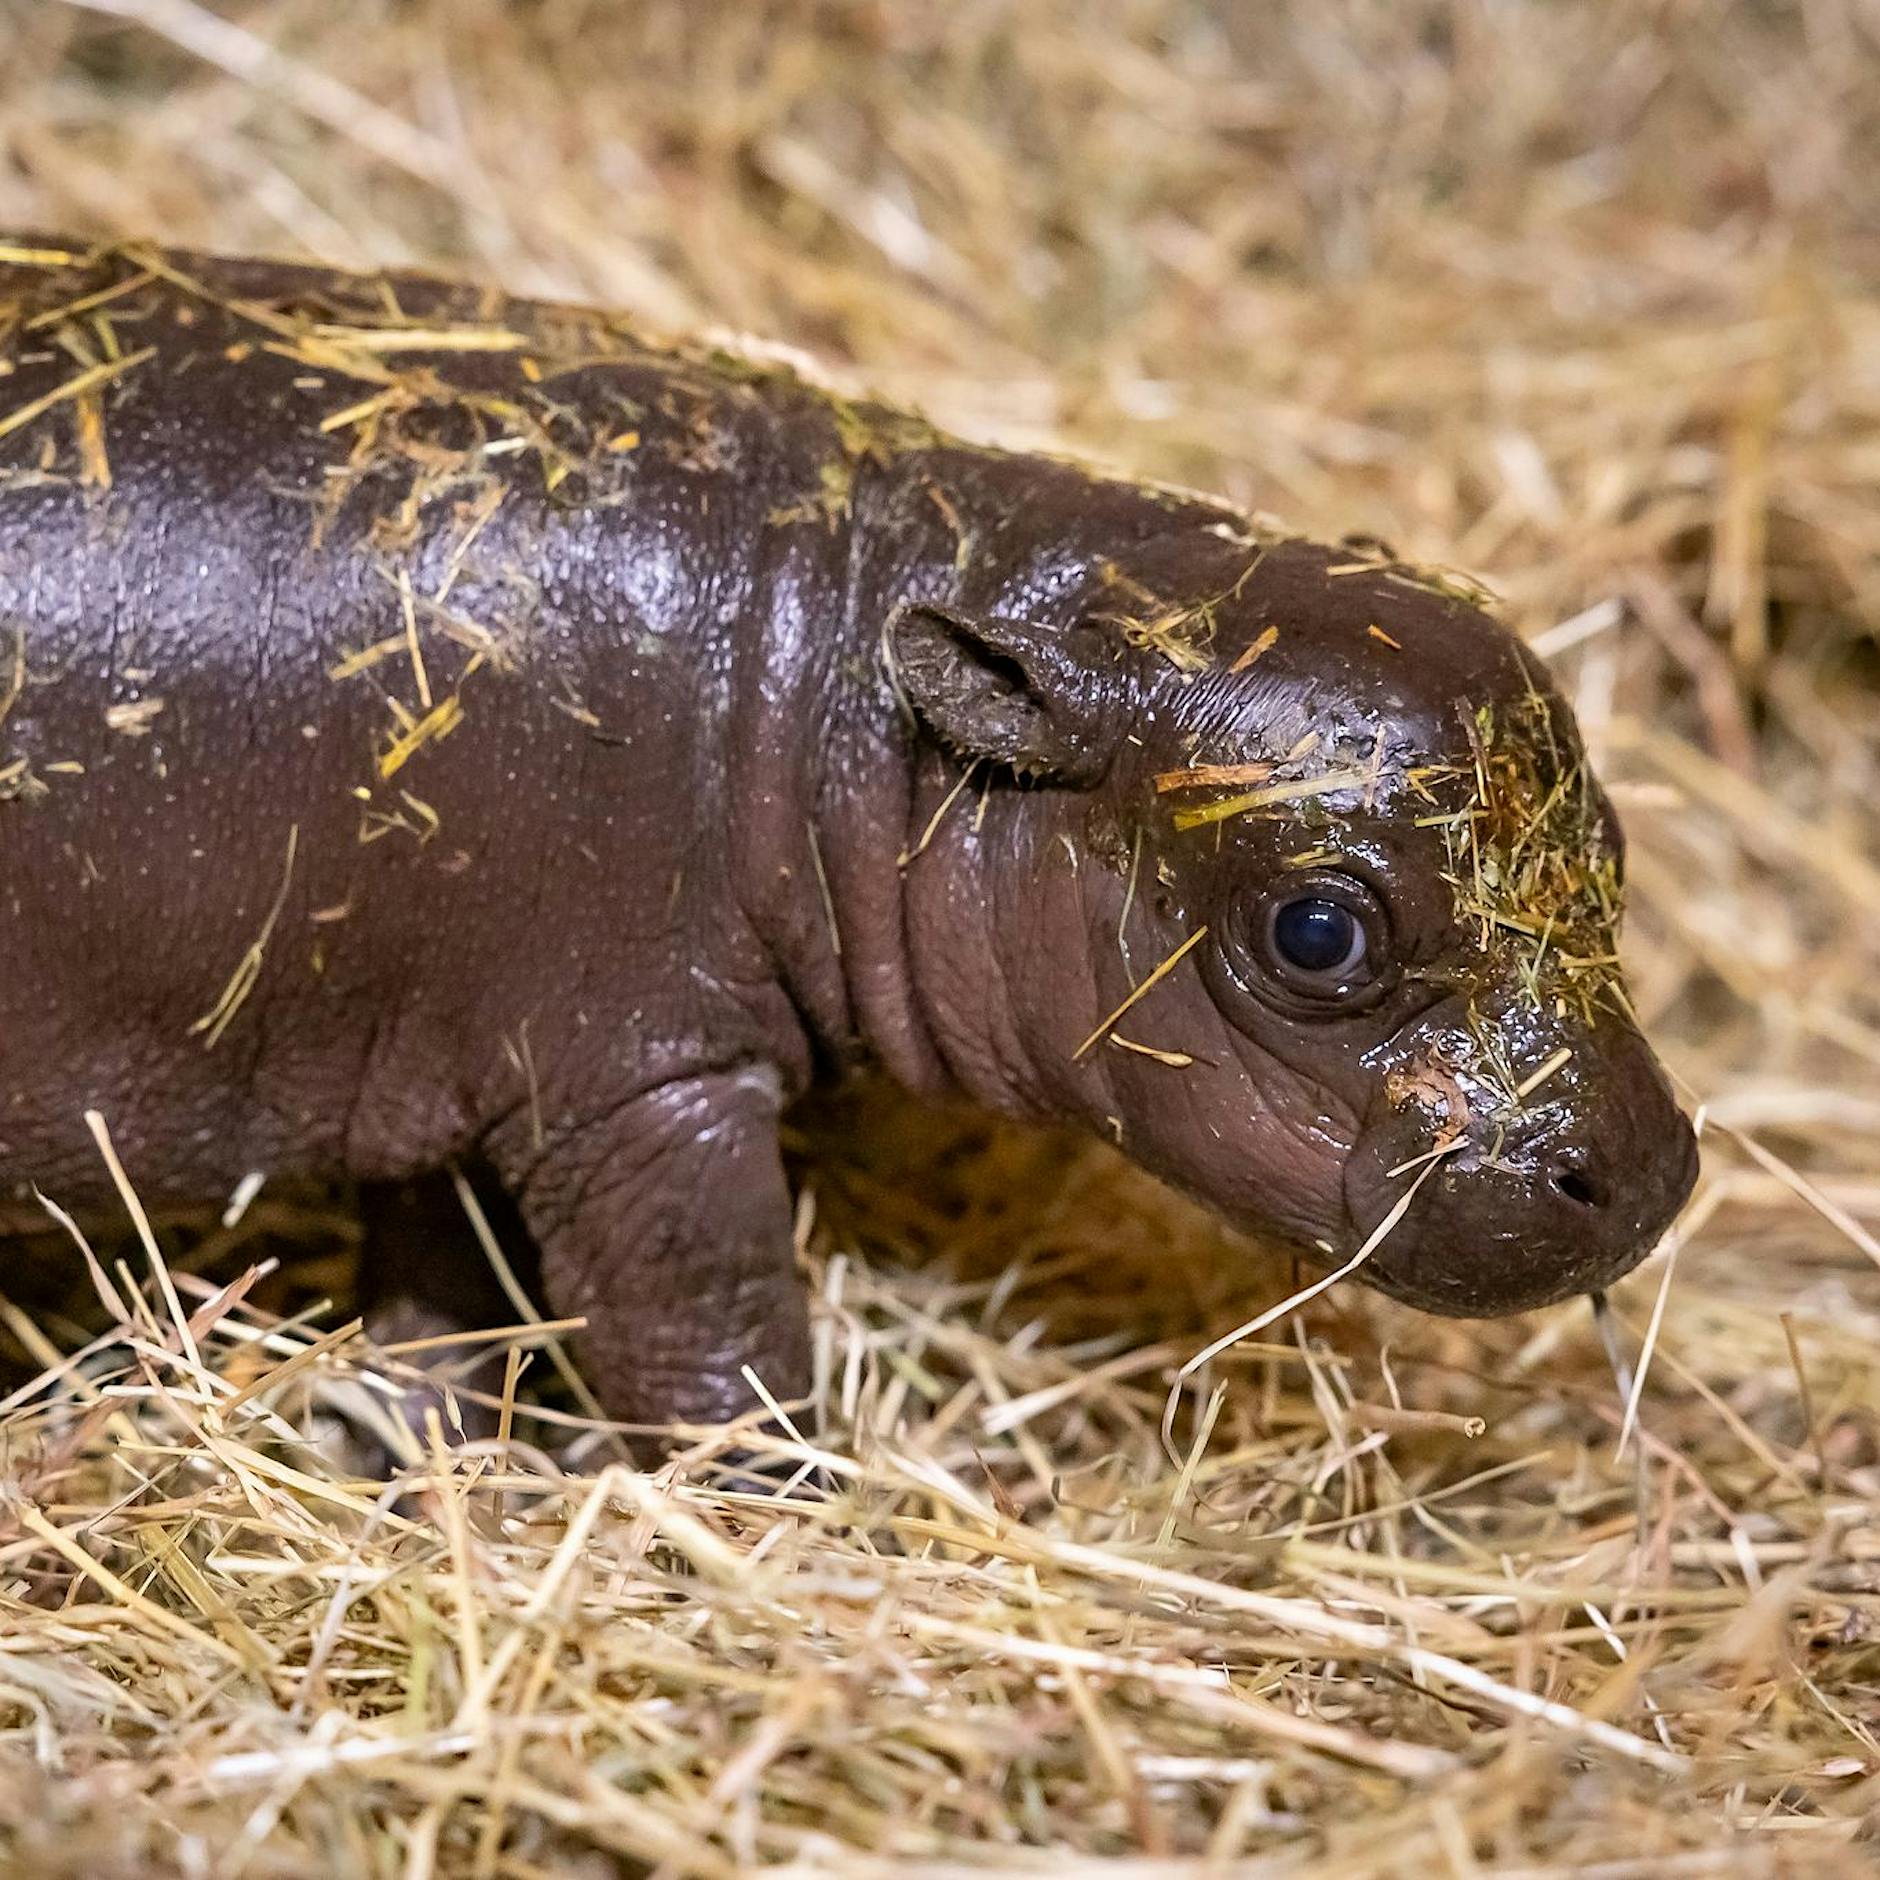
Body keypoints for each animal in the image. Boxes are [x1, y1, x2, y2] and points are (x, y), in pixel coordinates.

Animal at [0, 238, 1697, 1435]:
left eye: (1610, 842)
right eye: (1320, 931)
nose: (1655, 1172)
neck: (835, 673)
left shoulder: (435, 1045)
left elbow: (450, 1301)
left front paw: (404, 1451)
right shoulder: (640, 1076)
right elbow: (708, 1319)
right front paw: (770, 1501)